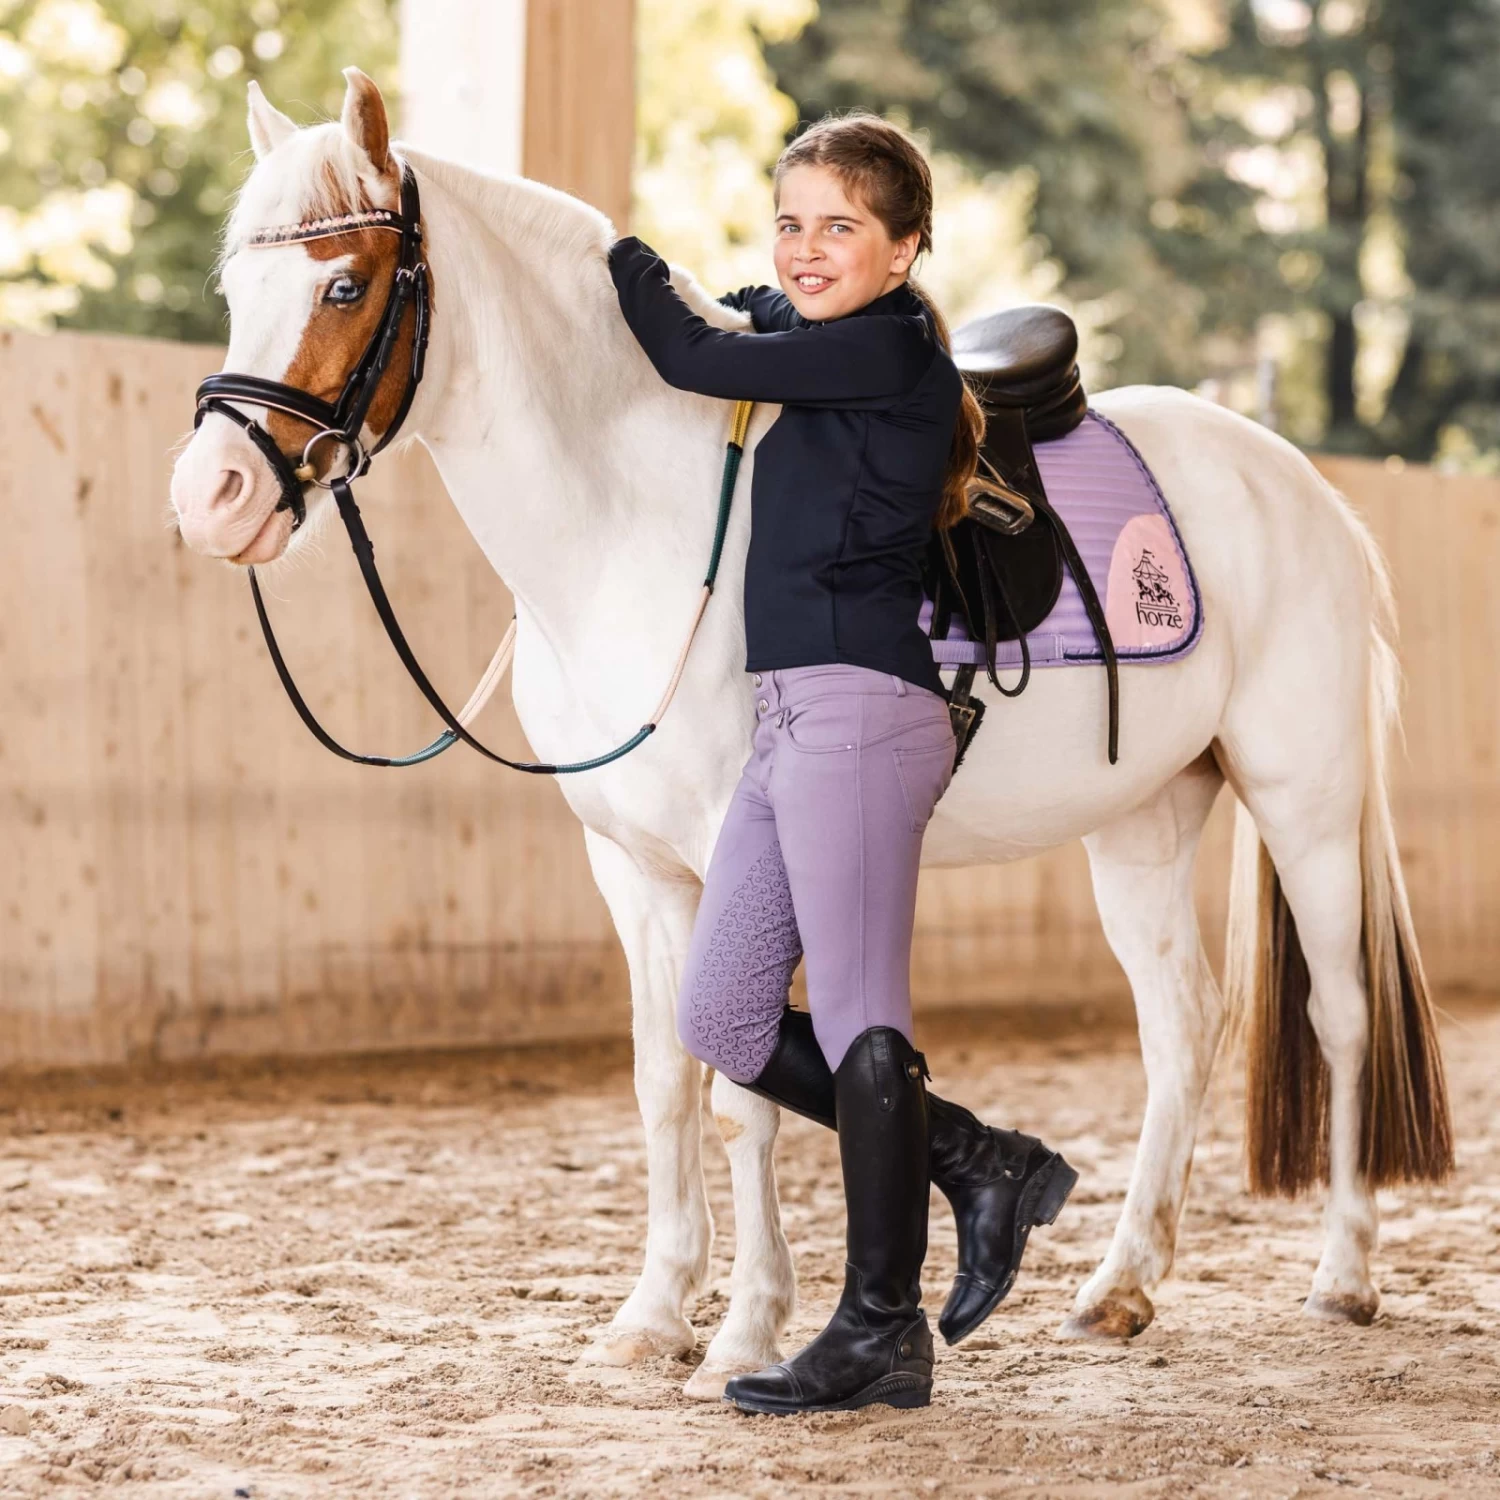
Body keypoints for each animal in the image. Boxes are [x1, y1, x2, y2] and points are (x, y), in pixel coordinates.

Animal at [169, 69, 1452, 1398]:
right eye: (236, 292)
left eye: (345, 286)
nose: (212, 498)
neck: (643, 519)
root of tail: (1304, 489)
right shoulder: (632, 869)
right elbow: (665, 1076)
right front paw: (651, 1315)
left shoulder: (741, 851)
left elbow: (742, 1090)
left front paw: (742, 1332)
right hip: (1143, 823)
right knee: (1181, 1026)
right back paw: (1120, 1287)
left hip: (1304, 805)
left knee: (1342, 1017)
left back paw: (1344, 1275)